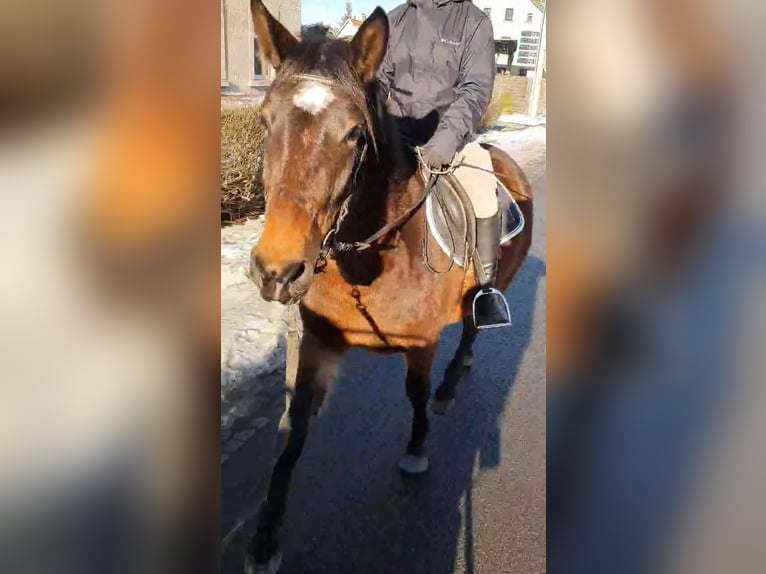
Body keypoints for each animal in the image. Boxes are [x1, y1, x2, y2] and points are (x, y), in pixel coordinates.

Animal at [246, 3, 536, 572]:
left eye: (355, 135)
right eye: (266, 121)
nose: (277, 271)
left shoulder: (420, 343)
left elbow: (415, 394)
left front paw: (418, 449)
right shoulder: (319, 343)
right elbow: (294, 428)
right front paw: (265, 536)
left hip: (492, 287)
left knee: (472, 330)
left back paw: (453, 382)